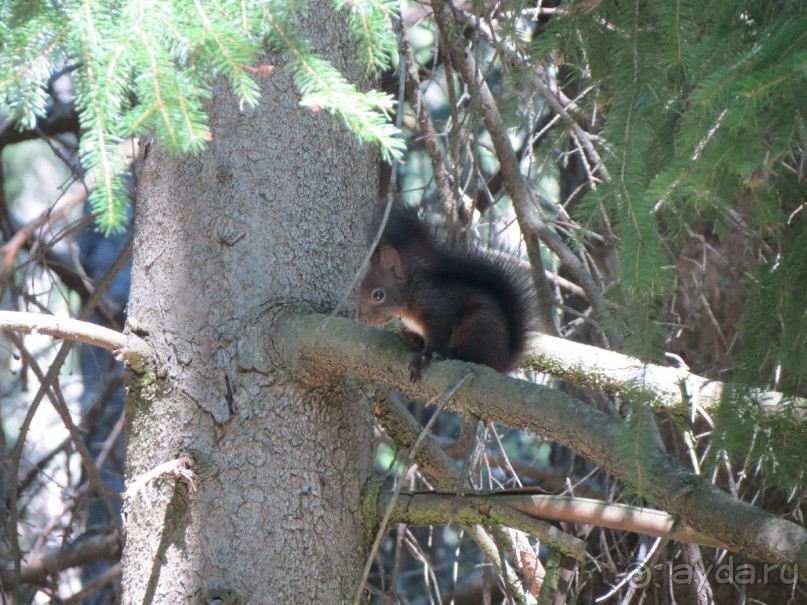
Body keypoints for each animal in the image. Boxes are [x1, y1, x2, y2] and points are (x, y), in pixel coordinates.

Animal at [358, 203, 536, 382]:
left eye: (378, 295)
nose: (362, 319)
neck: (412, 294)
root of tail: (503, 361)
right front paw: (409, 337)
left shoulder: (437, 310)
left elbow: (437, 337)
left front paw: (421, 359)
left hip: (477, 325)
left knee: (474, 355)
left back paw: (451, 353)